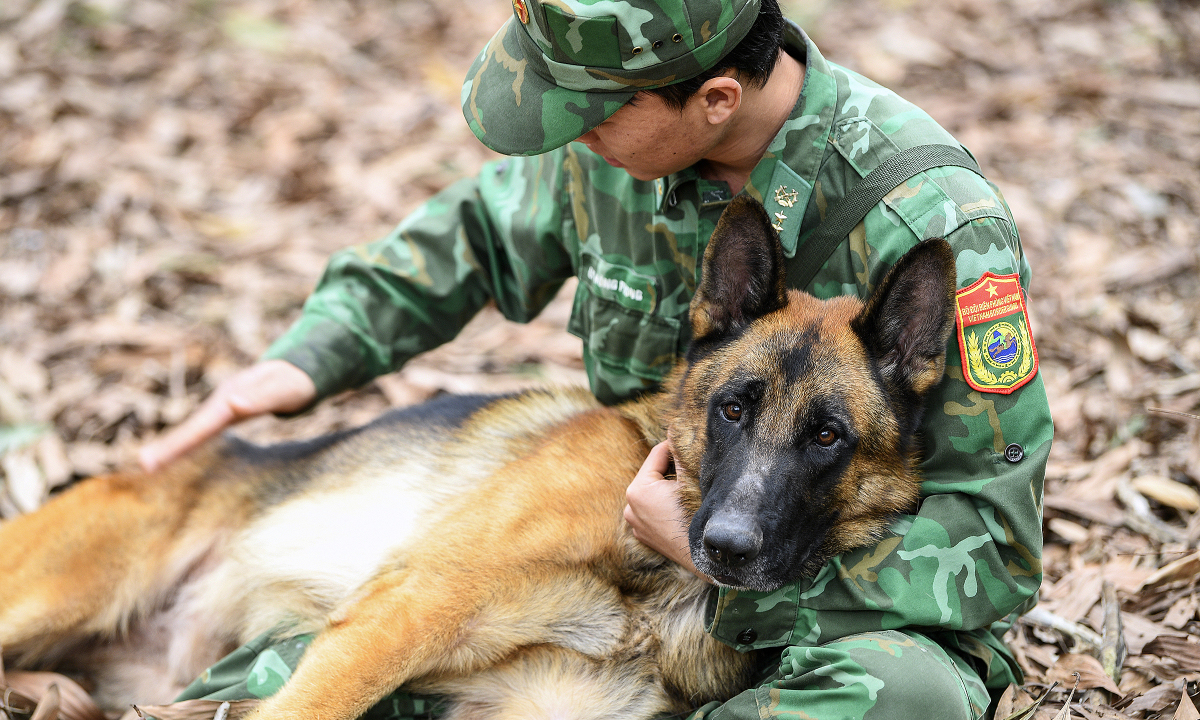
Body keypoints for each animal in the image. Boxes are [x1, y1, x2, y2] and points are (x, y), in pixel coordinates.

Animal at [0, 196, 955, 720]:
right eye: (733, 409)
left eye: (827, 437)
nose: (725, 546)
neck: (656, 586)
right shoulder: (407, 605)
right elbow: (310, 705)